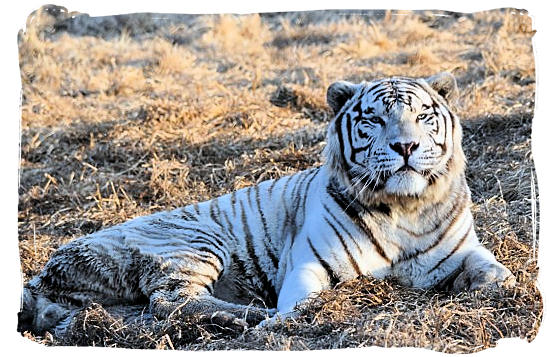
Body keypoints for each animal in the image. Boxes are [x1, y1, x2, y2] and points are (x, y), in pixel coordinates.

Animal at [18, 73, 516, 334]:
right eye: (374, 119)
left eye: (423, 116)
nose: (406, 146)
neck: (405, 207)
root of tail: (42, 271)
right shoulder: (308, 263)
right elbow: (302, 302)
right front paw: (292, 318)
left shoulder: (466, 250)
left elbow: (498, 274)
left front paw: (507, 291)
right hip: (195, 242)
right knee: (170, 303)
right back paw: (252, 317)